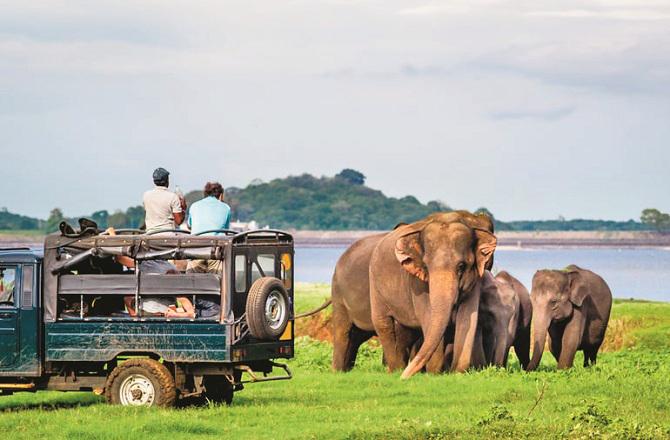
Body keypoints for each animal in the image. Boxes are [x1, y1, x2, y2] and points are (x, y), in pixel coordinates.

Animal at [369, 211, 497, 378]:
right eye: (426, 266)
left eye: (461, 266)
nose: (404, 378)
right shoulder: (417, 283)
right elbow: (428, 317)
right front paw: (434, 374)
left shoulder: (475, 279)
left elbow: (468, 318)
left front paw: (456, 373)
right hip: (374, 285)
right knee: (383, 323)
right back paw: (395, 370)